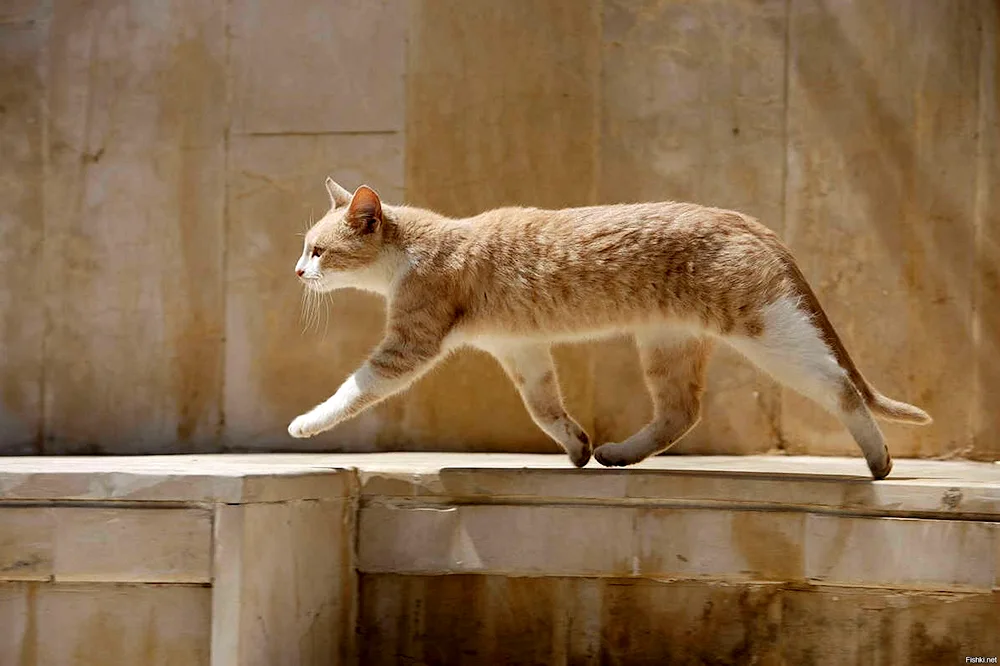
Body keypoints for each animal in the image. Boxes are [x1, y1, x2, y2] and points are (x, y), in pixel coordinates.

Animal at [290, 178, 928, 478]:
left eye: (318, 251)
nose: (297, 271)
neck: (418, 245)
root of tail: (745, 219)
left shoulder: (409, 345)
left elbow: (352, 390)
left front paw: (304, 423)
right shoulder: (519, 350)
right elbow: (544, 408)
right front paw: (576, 447)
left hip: (770, 333)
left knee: (841, 387)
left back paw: (879, 461)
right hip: (668, 343)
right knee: (679, 413)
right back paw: (618, 454)